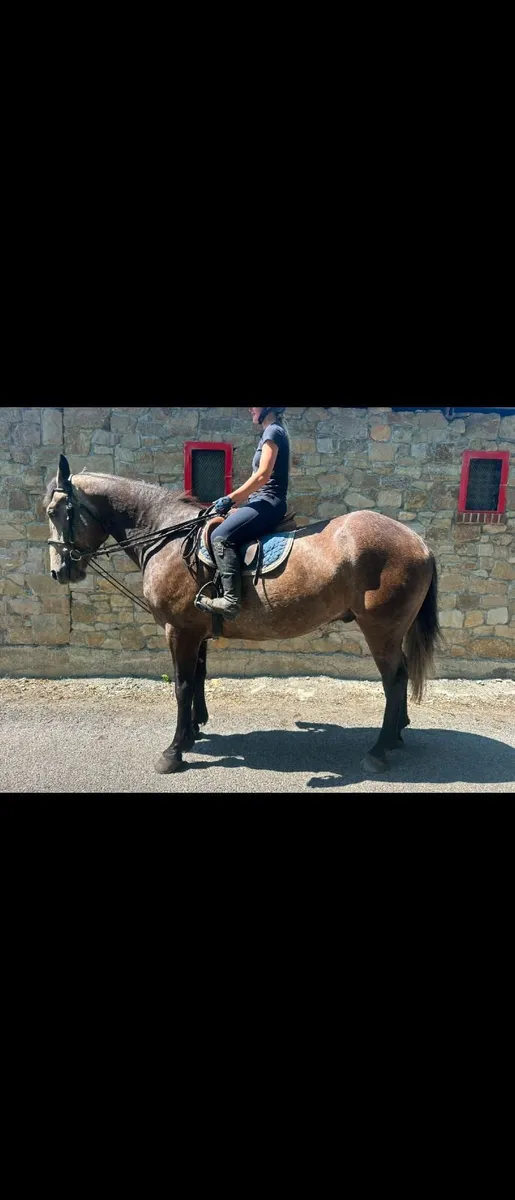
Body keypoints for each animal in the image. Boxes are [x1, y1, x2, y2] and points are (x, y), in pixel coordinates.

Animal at [44, 454, 442, 776]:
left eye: (53, 512)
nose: (58, 572)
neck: (167, 537)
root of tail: (418, 542)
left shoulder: (178, 630)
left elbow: (182, 685)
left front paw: (173, 752)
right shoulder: (195, 630)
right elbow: (198, 677)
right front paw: (191, 733)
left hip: (381, 630)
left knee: (394, 680)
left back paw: (379, 750)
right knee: (402, 674)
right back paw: (396, 735)